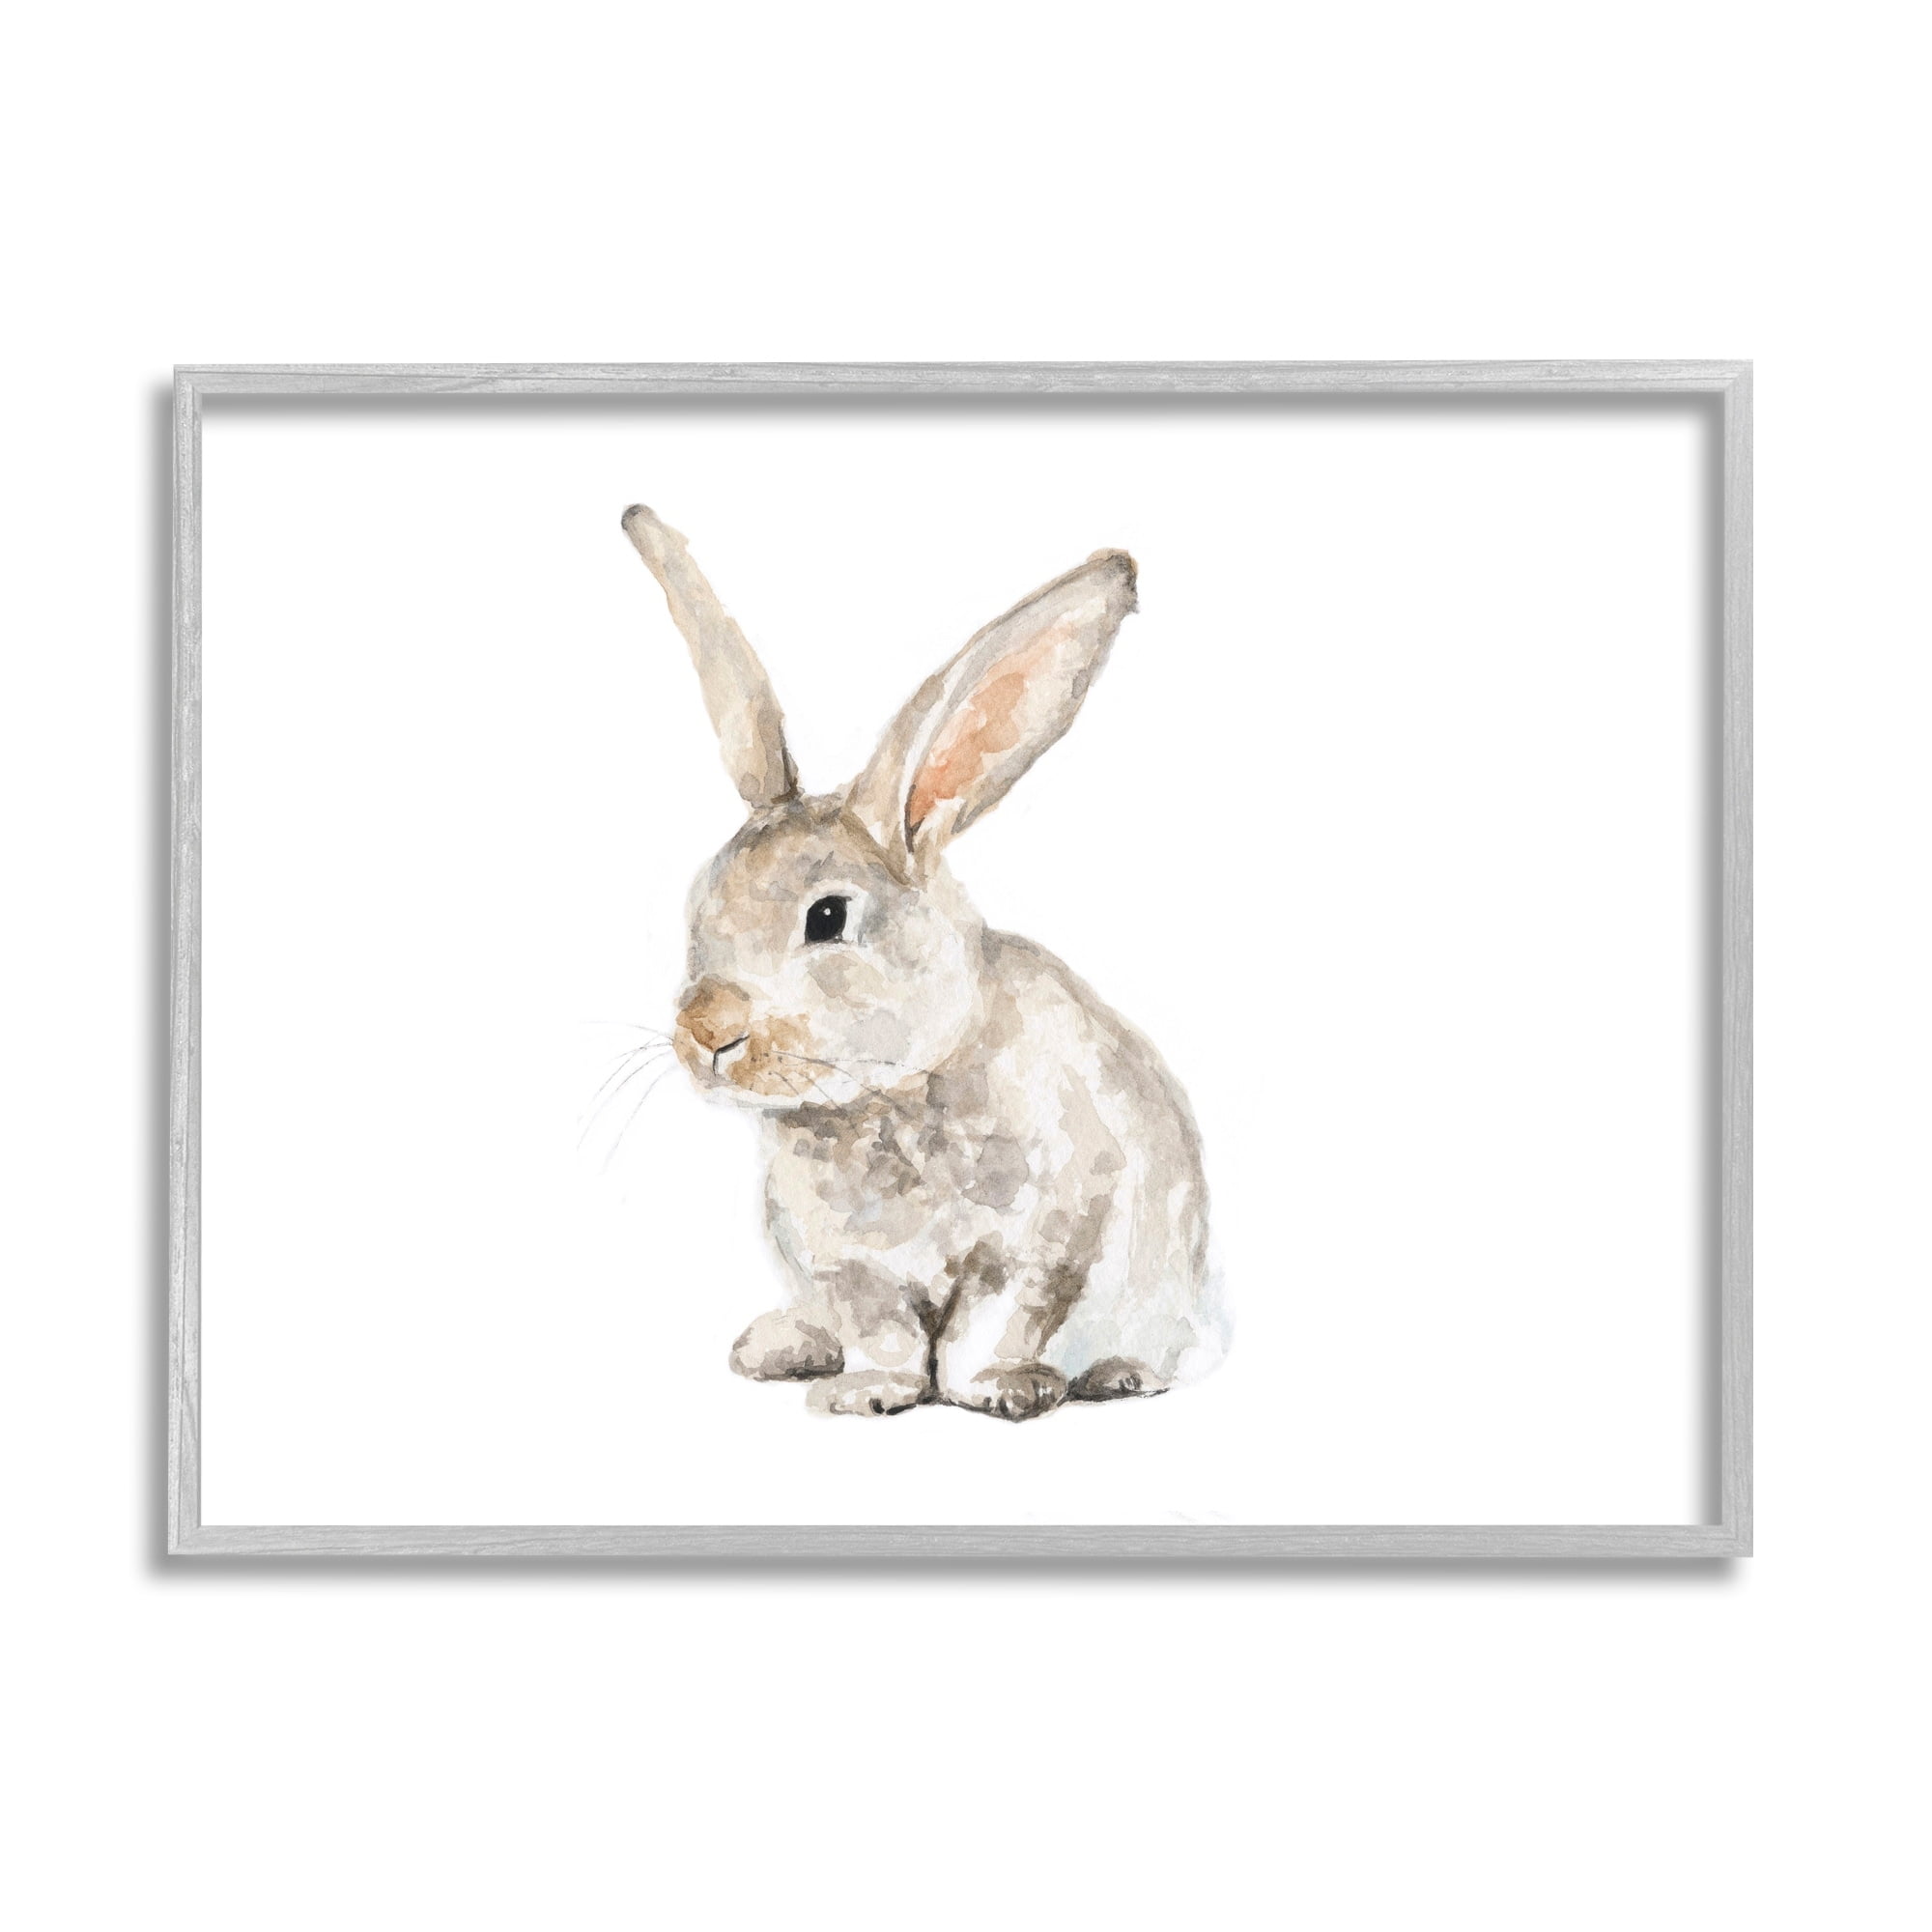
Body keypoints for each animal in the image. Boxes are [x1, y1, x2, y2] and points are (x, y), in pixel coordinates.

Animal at [622, 504, 1222, 1420]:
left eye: (828, 917)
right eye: (699, 907)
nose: (705, 1030)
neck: (885, 1098)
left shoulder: (1042, 1242)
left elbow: (989, 1328)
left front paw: (1006, 1393)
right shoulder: (846, 1269)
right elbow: (887, 1337)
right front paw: (867, 1394)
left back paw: (1121, 1375)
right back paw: (776, 1347)